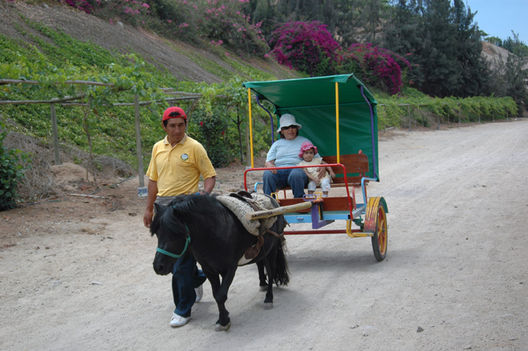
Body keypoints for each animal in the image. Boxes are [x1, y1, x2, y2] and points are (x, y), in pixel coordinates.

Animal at [151, 194, 288, 332]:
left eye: (175, 233)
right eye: (157, 233)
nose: (158, 267)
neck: (216, 230)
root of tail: (273, 199)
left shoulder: (230, 269)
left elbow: (221, 295)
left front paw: (223, 321)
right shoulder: (209, 270)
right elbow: (216, 294)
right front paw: (224, 317)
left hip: (272, 250)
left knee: (271, 271)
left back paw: (269, 298)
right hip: (262, 252)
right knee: (260, 264)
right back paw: (262, 284)